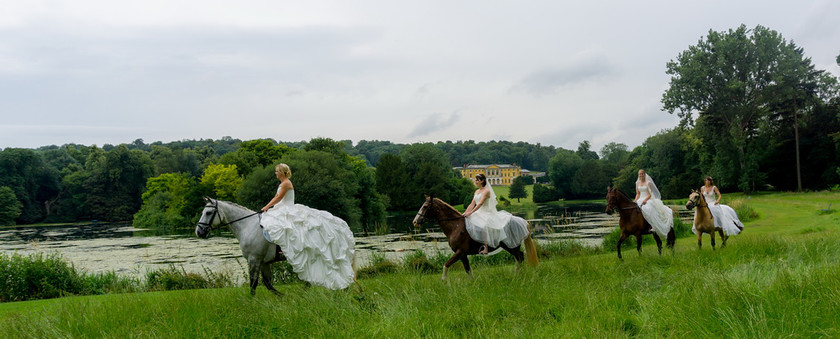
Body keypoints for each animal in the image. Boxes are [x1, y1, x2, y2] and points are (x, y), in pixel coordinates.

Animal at [412, 195, 540, 280]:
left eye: (425, 206)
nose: (415, 222)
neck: (456, 226)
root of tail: (522, 221)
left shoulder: (460, 252)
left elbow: (446, 264)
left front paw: (444, 281)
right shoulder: (462, 254)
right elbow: (467, 269)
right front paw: (472, 283)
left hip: (512, 245)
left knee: (519, 257)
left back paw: (518, 275)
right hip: (510, 246)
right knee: (519, 258)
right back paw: (517, 274)